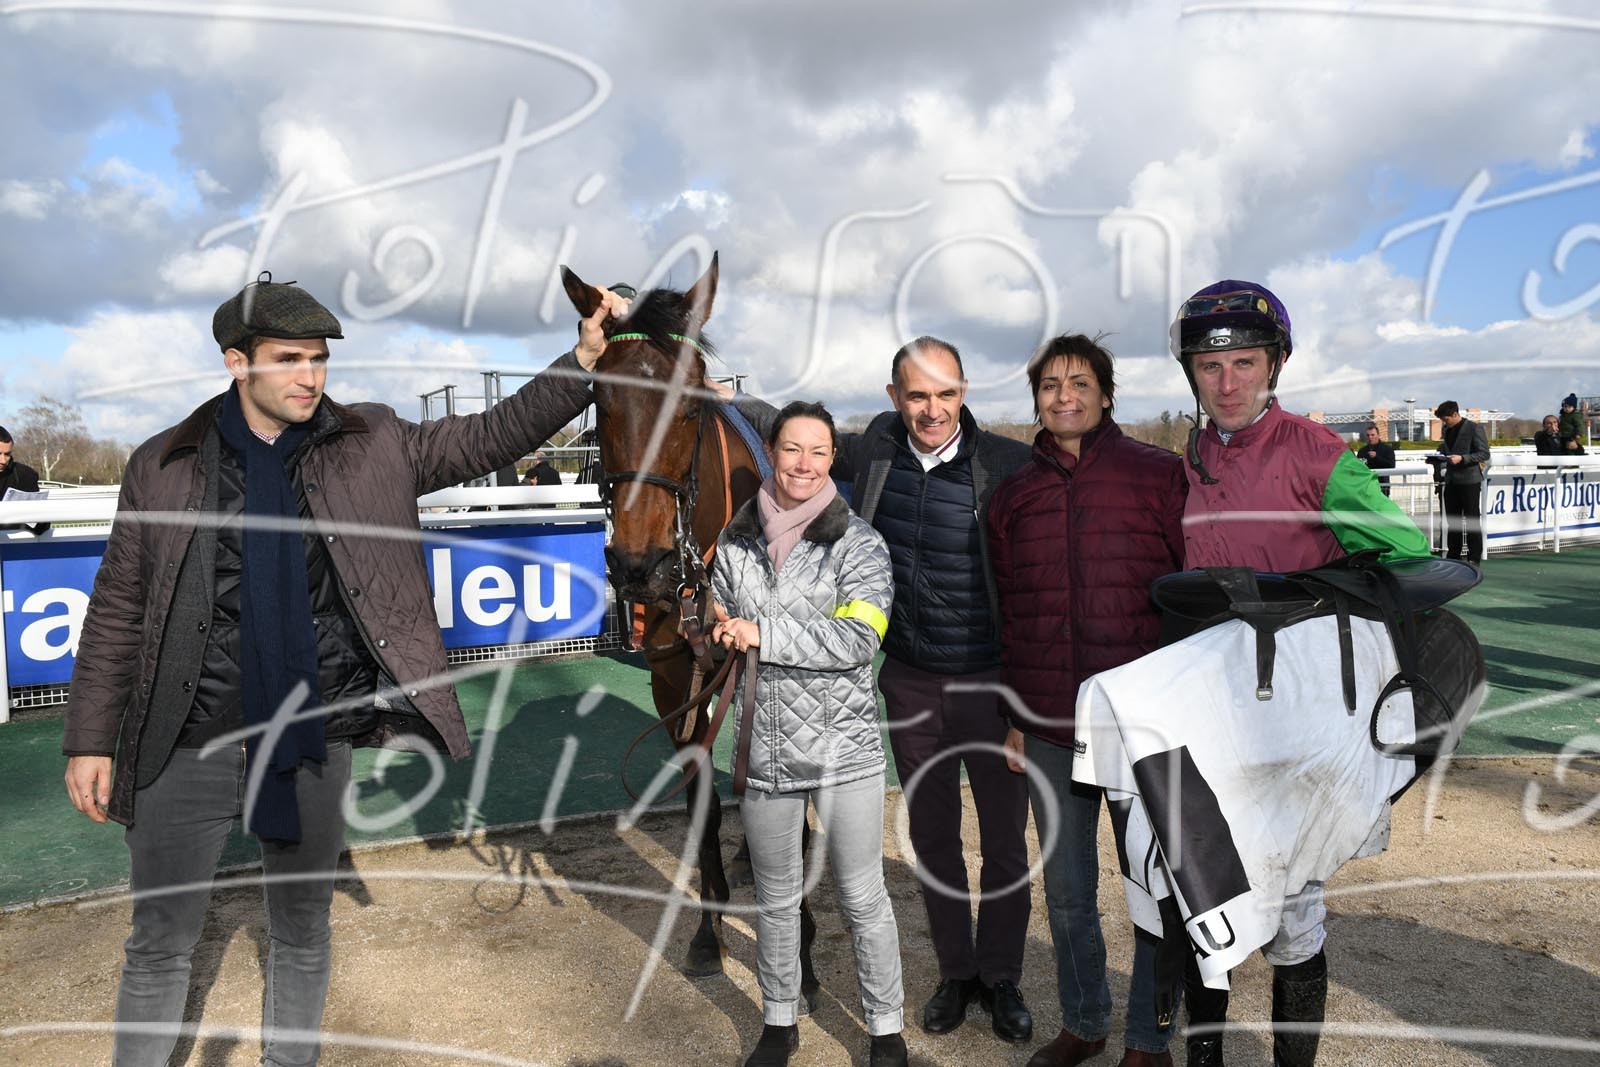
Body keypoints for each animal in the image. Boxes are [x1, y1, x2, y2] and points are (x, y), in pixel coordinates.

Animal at [562, 254, 819, 1001]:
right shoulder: (676, 678)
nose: (637, 565)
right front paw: (709, 926)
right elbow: (701, 782)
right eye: (601, 401)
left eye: (690, 406)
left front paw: (805, 943)